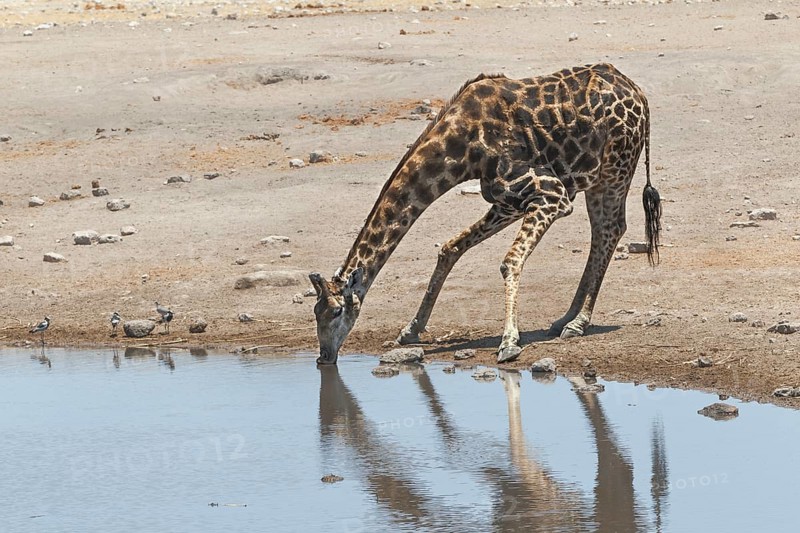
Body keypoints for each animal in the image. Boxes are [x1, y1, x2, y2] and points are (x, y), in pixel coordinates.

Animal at [309, 62, 661, 365]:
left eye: (337, 312)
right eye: (315, 312)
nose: (324, 356)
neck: (460, 151)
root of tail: (640, 94)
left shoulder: (552, 194)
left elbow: (510, 261)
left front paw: (509, 343)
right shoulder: (507, 202)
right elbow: (450, 248)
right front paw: (410, 330)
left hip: (614, 172)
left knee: (610, 229)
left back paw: (578, 322)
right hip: (597, 178)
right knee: (602, 231)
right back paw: (566, 319)